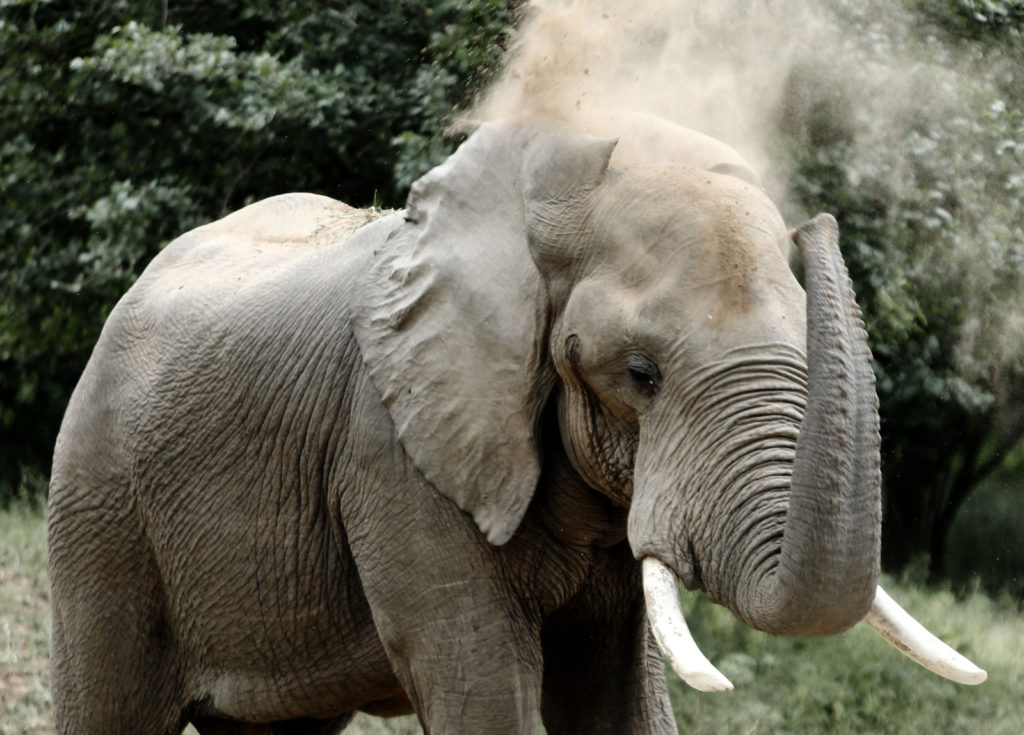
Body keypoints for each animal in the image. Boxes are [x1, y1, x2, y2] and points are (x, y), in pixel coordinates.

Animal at [48, 116, 983, 735]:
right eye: (638, 374)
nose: (816, 223)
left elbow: (614, 693)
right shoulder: (393, 449)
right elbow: (481, 682)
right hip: (100, 506)